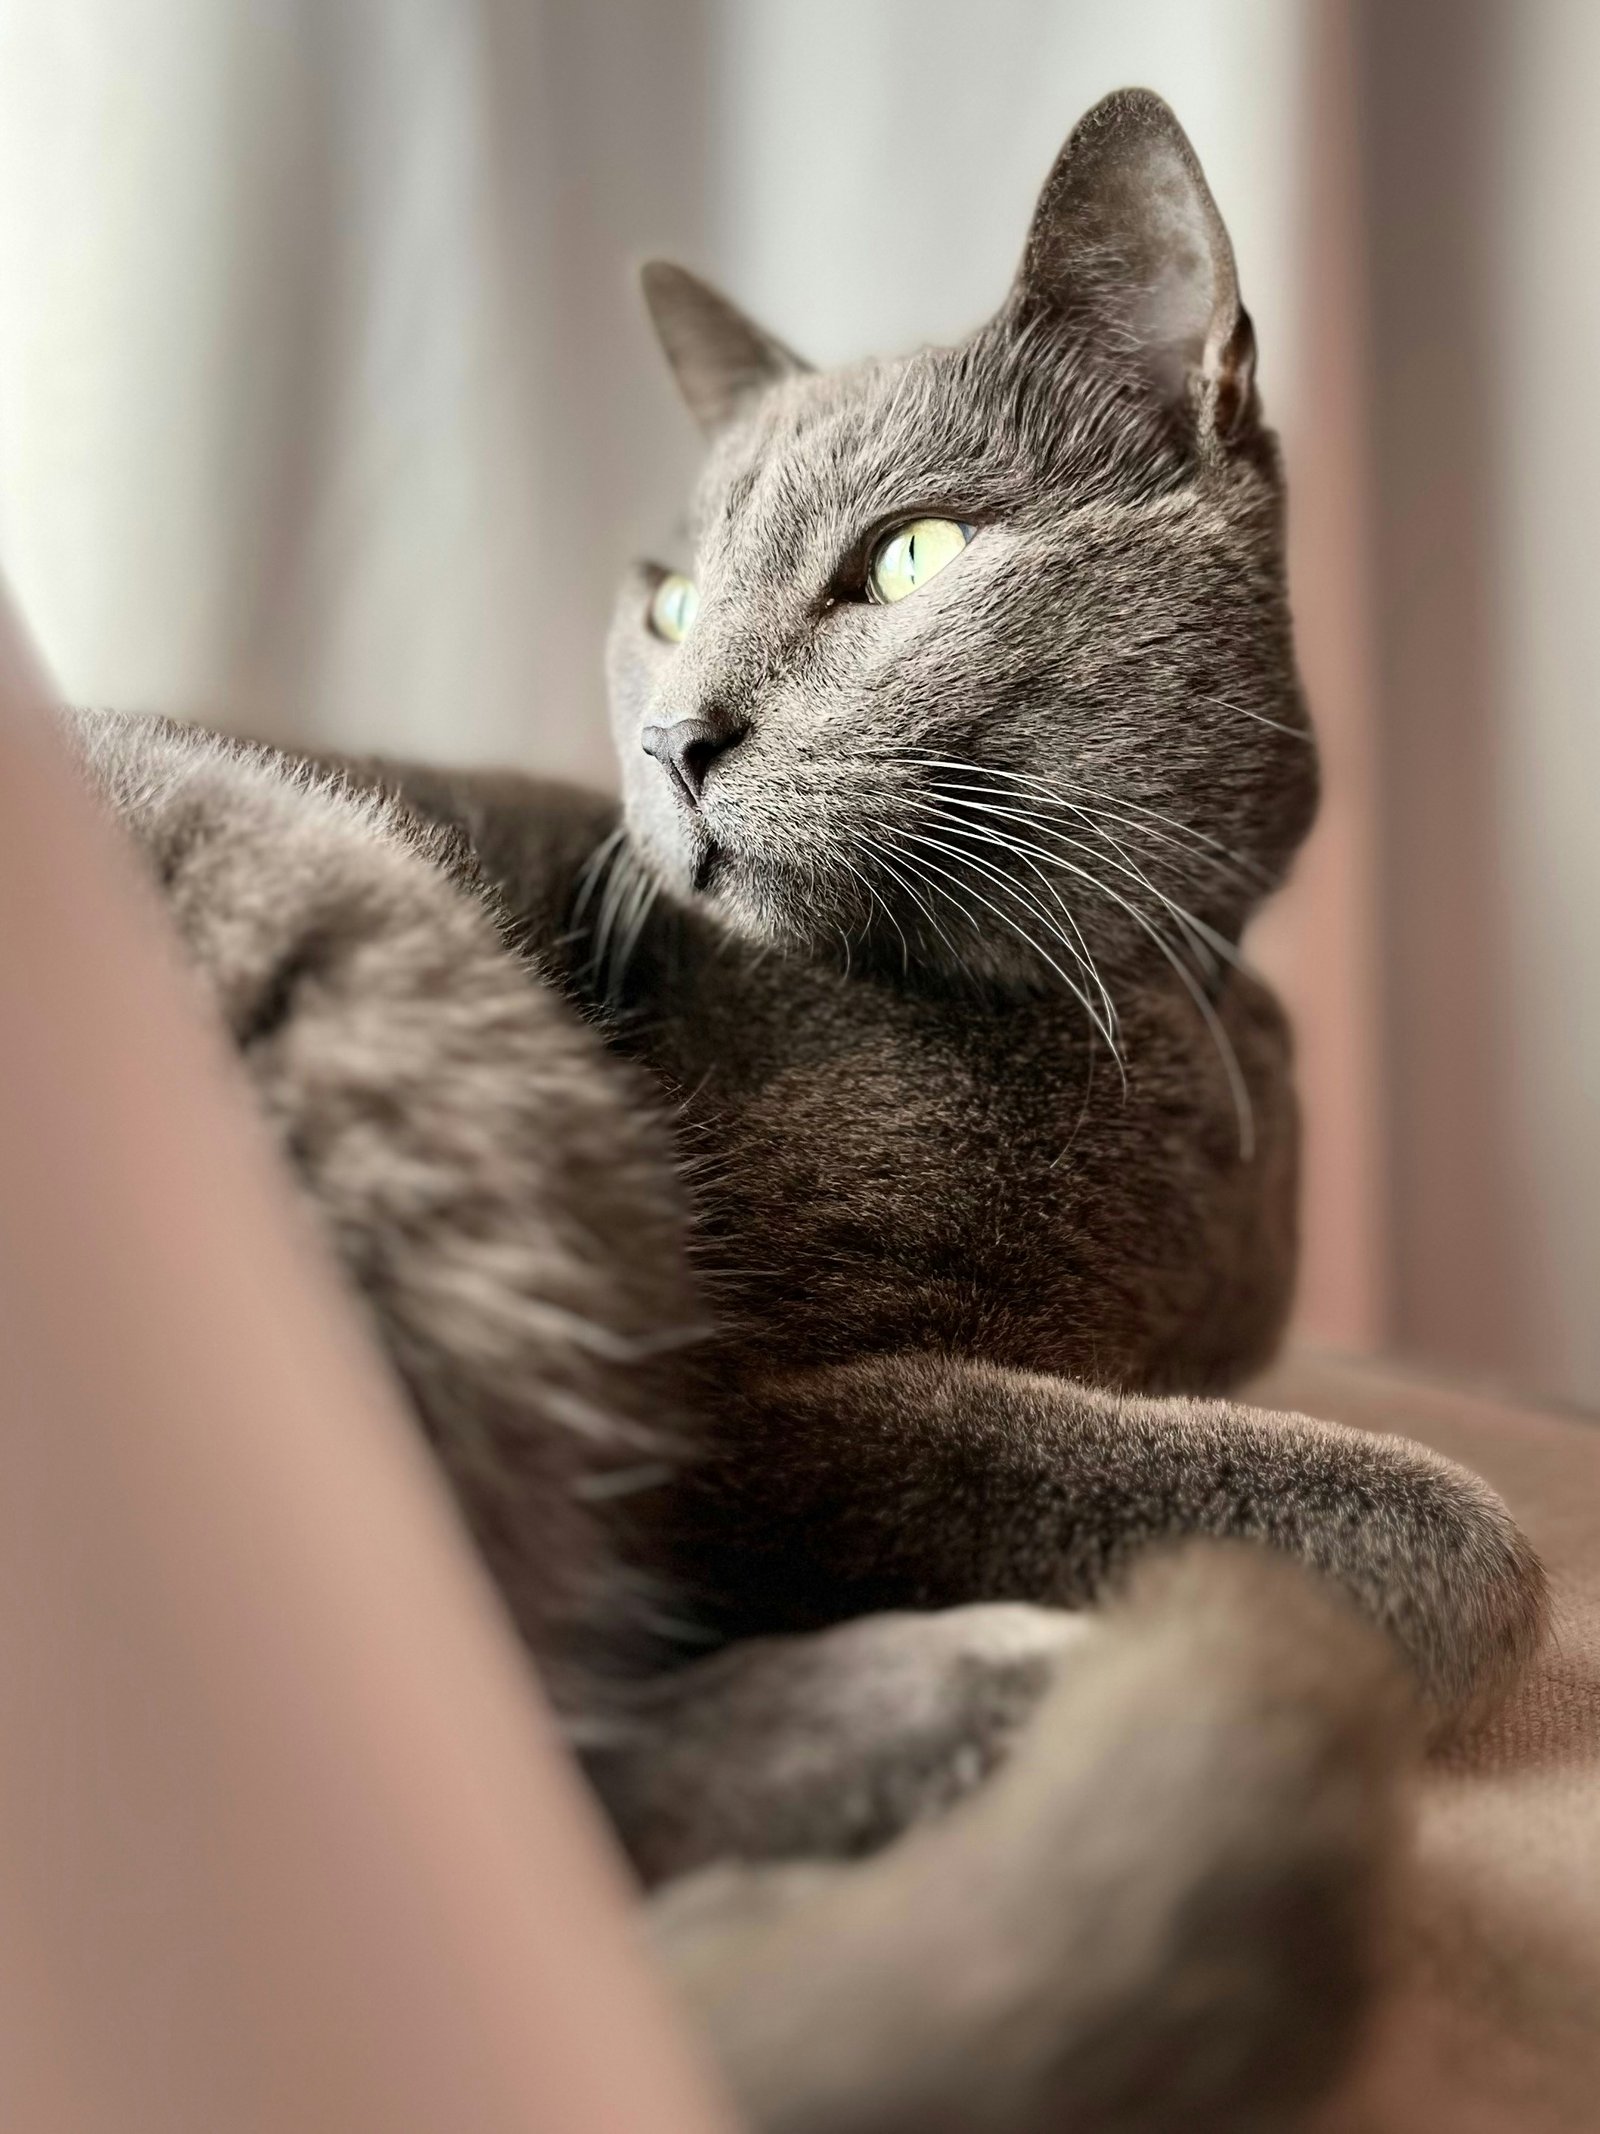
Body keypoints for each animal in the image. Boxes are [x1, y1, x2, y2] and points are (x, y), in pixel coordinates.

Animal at [65, 87, 1553, 2134]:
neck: (1135, 1016)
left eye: (910, 557)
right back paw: (979, 1720)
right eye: (672, 598)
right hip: (344, 922)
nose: (675, 733)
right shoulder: (730, 1394)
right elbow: (1371, 1516)